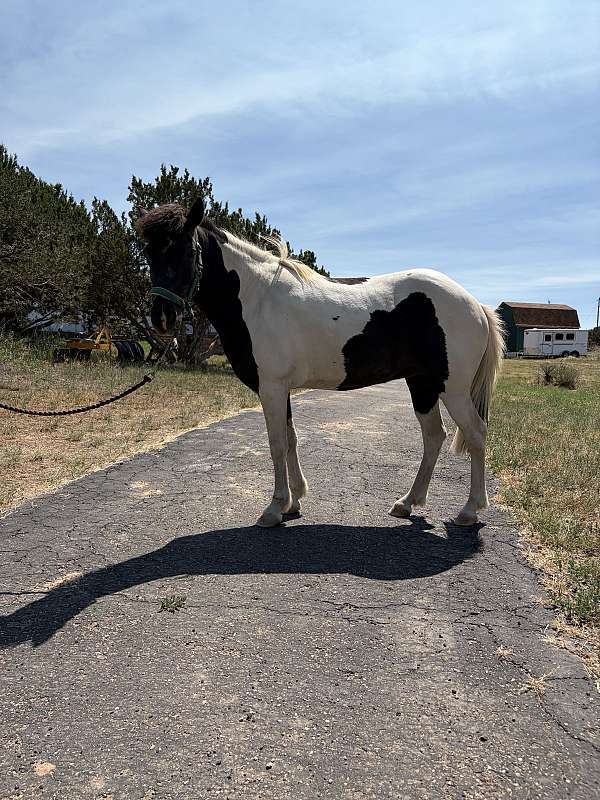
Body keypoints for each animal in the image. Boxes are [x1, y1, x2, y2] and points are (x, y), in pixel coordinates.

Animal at [137, 197, 505, 528]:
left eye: (187, 251)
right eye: (150, 254)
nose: (162, 318)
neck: (256, 299)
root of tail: (475, 304)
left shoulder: (271, 387)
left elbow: (276, 444)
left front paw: (274, 508)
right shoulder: (280, 388)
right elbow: (290, 439)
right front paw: (294, 500)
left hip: (452, 388)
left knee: (475, 433)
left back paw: (469, 511)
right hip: (422, 384)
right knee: (434, 437)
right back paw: (407, 503)